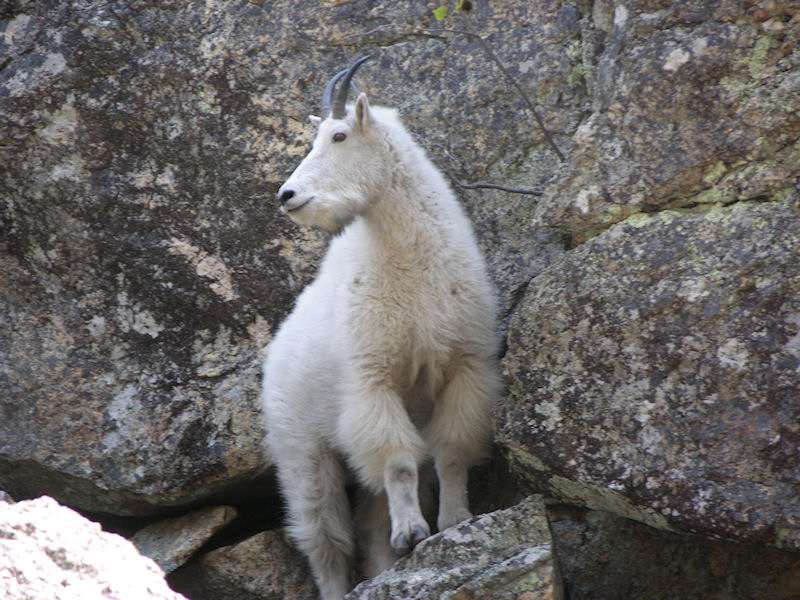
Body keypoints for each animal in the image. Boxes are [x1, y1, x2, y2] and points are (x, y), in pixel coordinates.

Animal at [261, 56, 501, 600]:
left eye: (340, 135)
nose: (288, 195)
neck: (411, 268)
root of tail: (274, 355)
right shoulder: (373, 380)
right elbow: (398, 461)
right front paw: (413, 530)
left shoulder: (464, 367)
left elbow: (451, 452)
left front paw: (455, 520)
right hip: (302, 451)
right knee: (325, 538)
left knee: (368, 523)